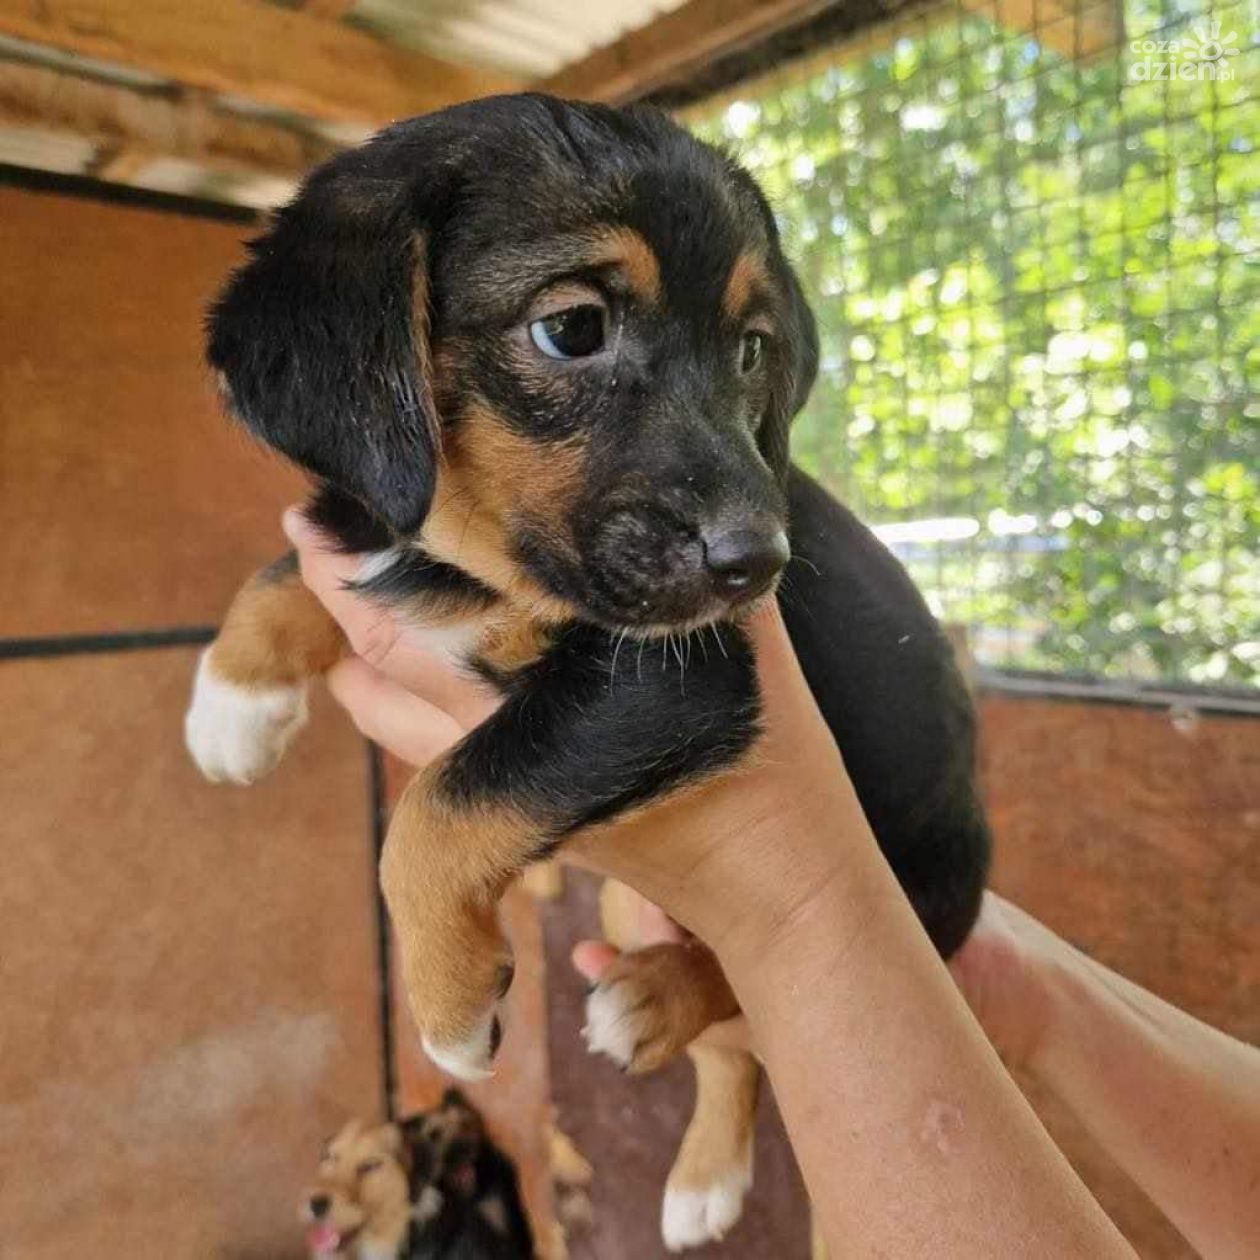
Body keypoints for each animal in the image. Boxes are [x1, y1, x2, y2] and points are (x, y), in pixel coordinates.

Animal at [189, 95, 992, 1093]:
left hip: (935, 883)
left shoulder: (676, 679)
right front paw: (232, 702)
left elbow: (445, 803)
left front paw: (450, 1007)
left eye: (751, 350)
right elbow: (296, 565)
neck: (475, 557)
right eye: (572, 329)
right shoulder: (379, 514)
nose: (760, 563)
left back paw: (655, 994)